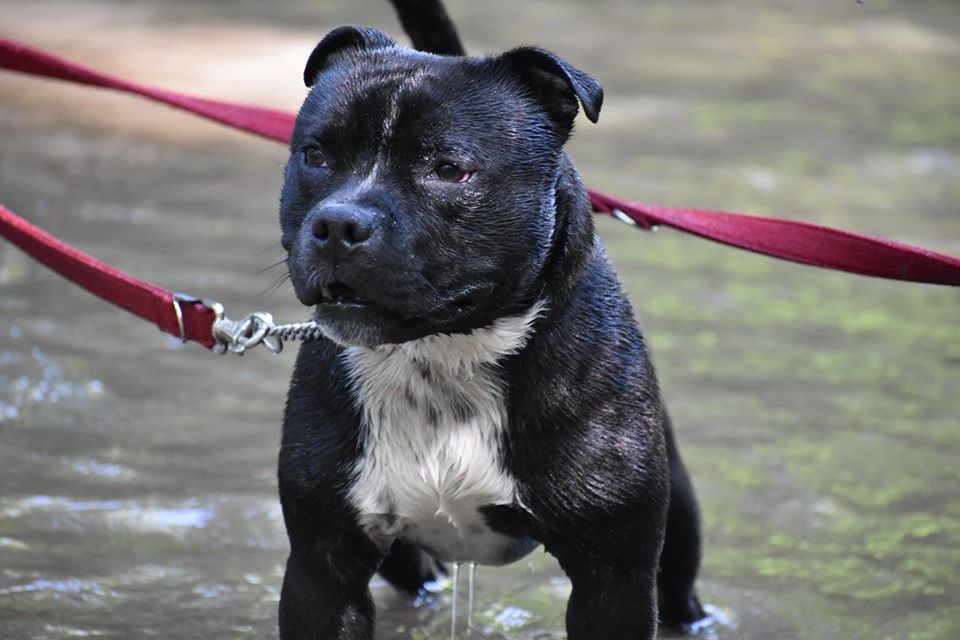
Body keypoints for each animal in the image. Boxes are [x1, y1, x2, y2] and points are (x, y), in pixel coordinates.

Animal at [278, 26, 704, 640]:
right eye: (315, 155)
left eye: (449, 169)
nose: (339, 223)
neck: (442, 354)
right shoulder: (322, 570)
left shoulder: (613, 581)